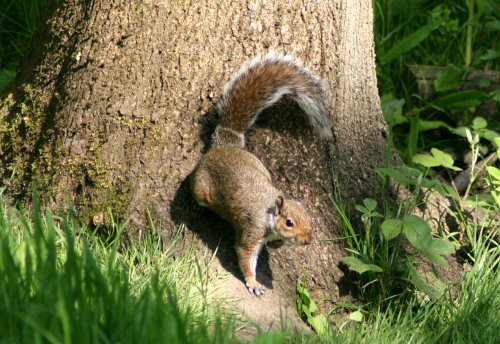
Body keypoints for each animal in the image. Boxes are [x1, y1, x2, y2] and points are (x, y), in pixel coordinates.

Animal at [189, 51, 330, 296]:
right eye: (289, 222)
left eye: (308, 218)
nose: (307, 241)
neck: (270, 215)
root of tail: (226, 145)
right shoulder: (252, 230)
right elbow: (245, 255)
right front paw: (253, 283)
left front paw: (278, 245)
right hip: (202, 186)